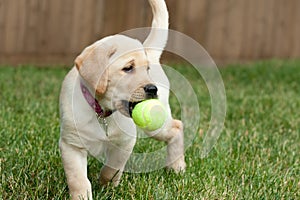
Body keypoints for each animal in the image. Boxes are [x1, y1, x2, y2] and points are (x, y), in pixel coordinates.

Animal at [58, 0, 185, 198]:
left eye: (146, 69)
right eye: (128, 68)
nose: (152, 88)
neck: (102, 112)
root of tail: (149, 49)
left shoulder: (125, 143)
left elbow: (111, 168)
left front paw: (106, 186)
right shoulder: (71, 145)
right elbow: (77, 178)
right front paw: (82, 195)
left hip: (156, 125)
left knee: (177, 127)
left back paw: (177, 167)